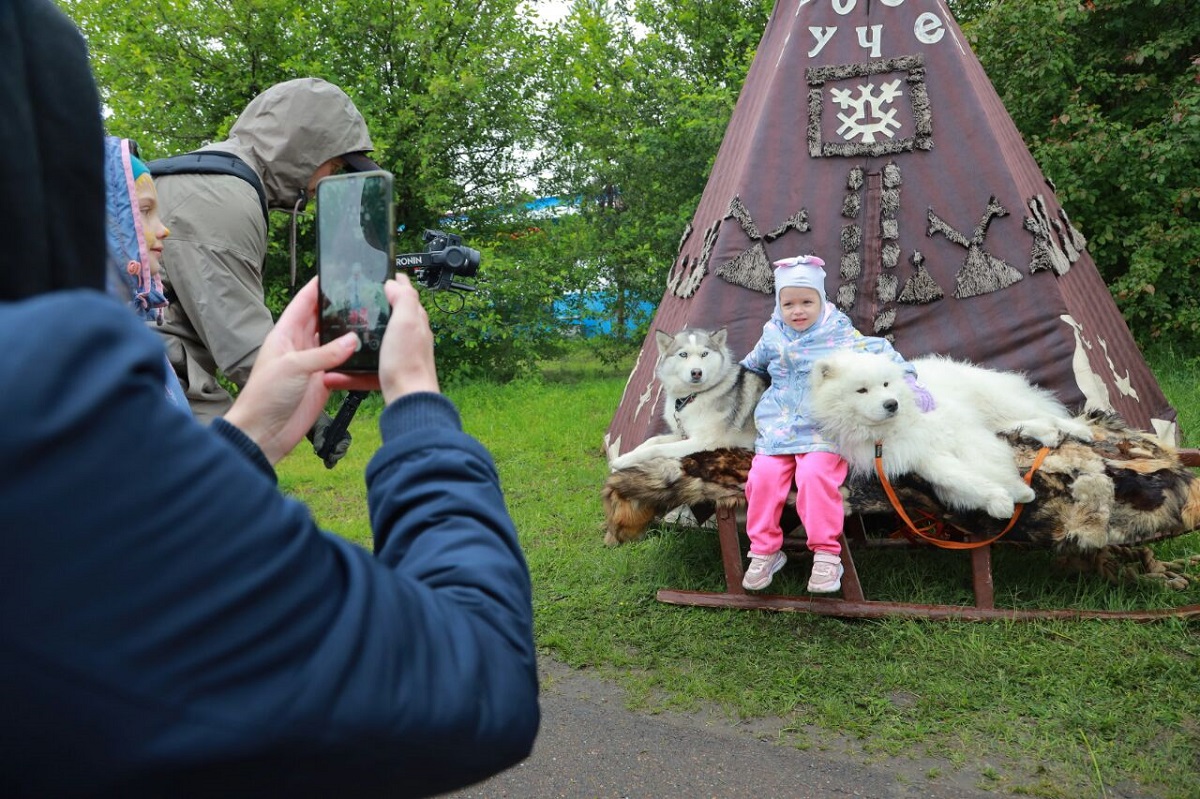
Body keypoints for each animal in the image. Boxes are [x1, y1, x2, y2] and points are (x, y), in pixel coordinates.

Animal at [609, 326, 768, 470]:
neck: (693, 396)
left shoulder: (701, 442)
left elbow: (657, 448)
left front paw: (622, 461)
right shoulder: (683, 434)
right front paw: (627, 455)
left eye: (704, 354)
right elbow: (653, 440)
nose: (696, 372)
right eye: (683, 354)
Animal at [811, 352, 1094, 520]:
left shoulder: (960, 431)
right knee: (1030, 422)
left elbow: (987, 464)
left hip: (997, 402)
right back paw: (1048, 435)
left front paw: (1017, 491)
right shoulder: (923, 456)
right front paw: (998, 499)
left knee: (1047, 414)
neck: (888, 429)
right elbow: (957, 477)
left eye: (885, 384)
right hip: (995, 416)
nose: (891, 404)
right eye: (862, 390)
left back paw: (1079, 431)